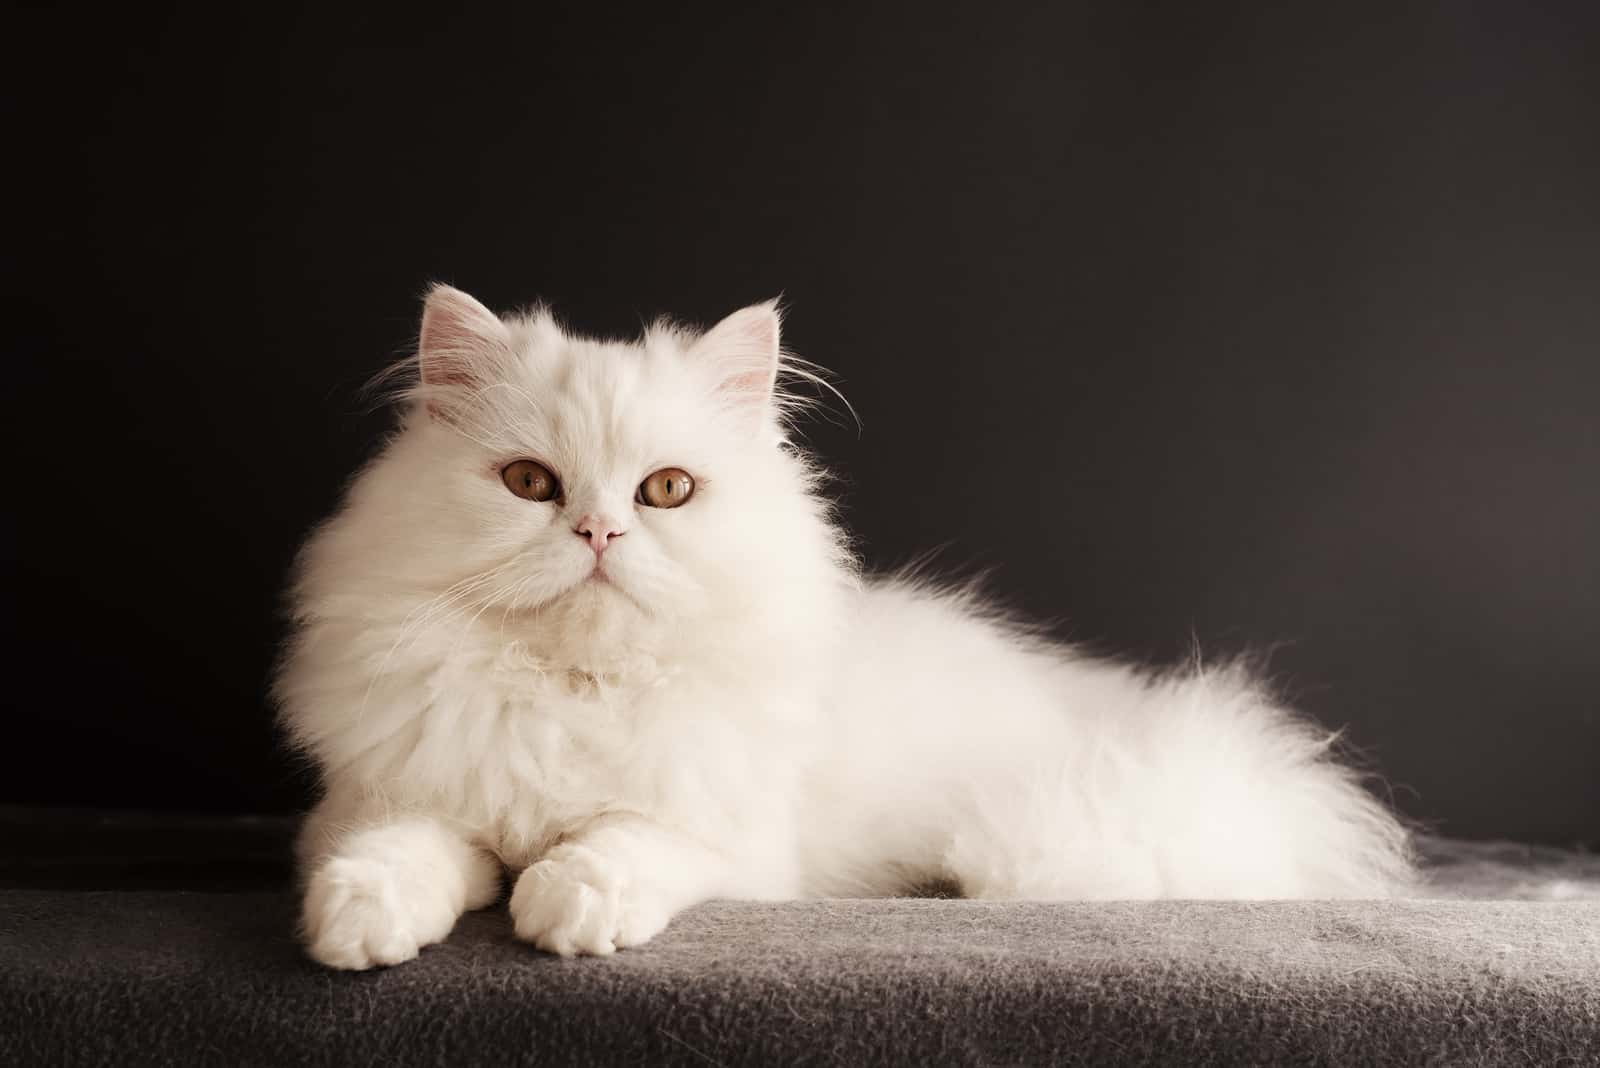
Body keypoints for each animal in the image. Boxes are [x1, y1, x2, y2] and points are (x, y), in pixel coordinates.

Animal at [275, 282, 1414, 965]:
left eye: (666, 491)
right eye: (528, 484)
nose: (598, 531)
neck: (576, 690)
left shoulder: (731, 839)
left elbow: (624, 841)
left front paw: (567, 909)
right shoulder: (378, 799)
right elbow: (399, 854)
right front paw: (358, 928)